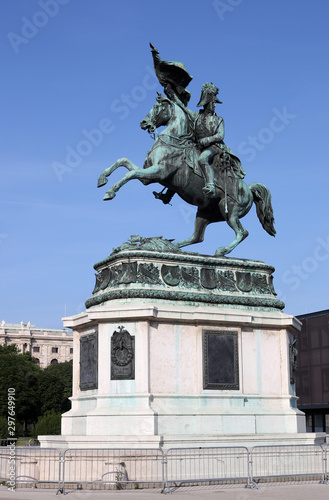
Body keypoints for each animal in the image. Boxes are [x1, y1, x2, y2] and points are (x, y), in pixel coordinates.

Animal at [96, 93, 274, 254]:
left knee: (242, 232)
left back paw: (221, 250)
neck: (172, 142)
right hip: (205, 213)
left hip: (230, 211)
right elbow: (123, 161)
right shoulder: (148, 177)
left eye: (158, 107)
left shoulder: (158, 173)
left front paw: (109, 192)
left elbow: (129, 174)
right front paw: (102, 179)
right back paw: (172, 246)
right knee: (197, 237)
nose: (143, 122)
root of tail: (248, 189)